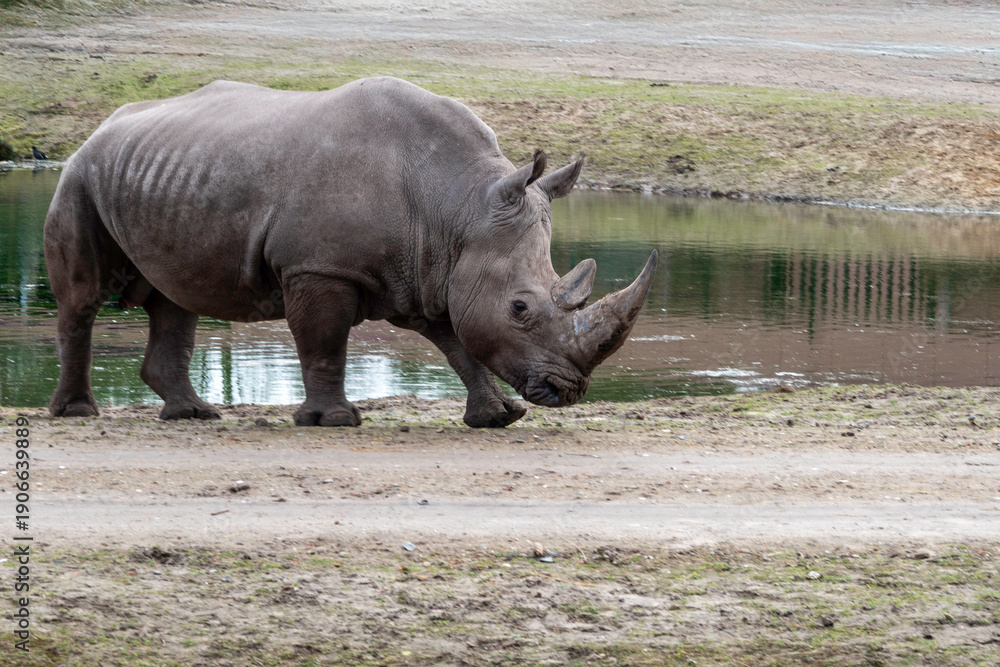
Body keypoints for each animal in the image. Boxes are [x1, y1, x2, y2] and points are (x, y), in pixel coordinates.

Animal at [44, 77, 656, 427]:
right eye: (521, 309)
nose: (567, 392)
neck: (458, 205)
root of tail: (100, 128)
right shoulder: (320, 267)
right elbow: (324, 342)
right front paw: (332, 420)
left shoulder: (433, 270)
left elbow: (460, 343)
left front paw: (499, 417)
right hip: (79, 176)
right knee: (82, 298)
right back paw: (77, 413)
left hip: (162, 172)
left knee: (173, 298)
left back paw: (192, 415)